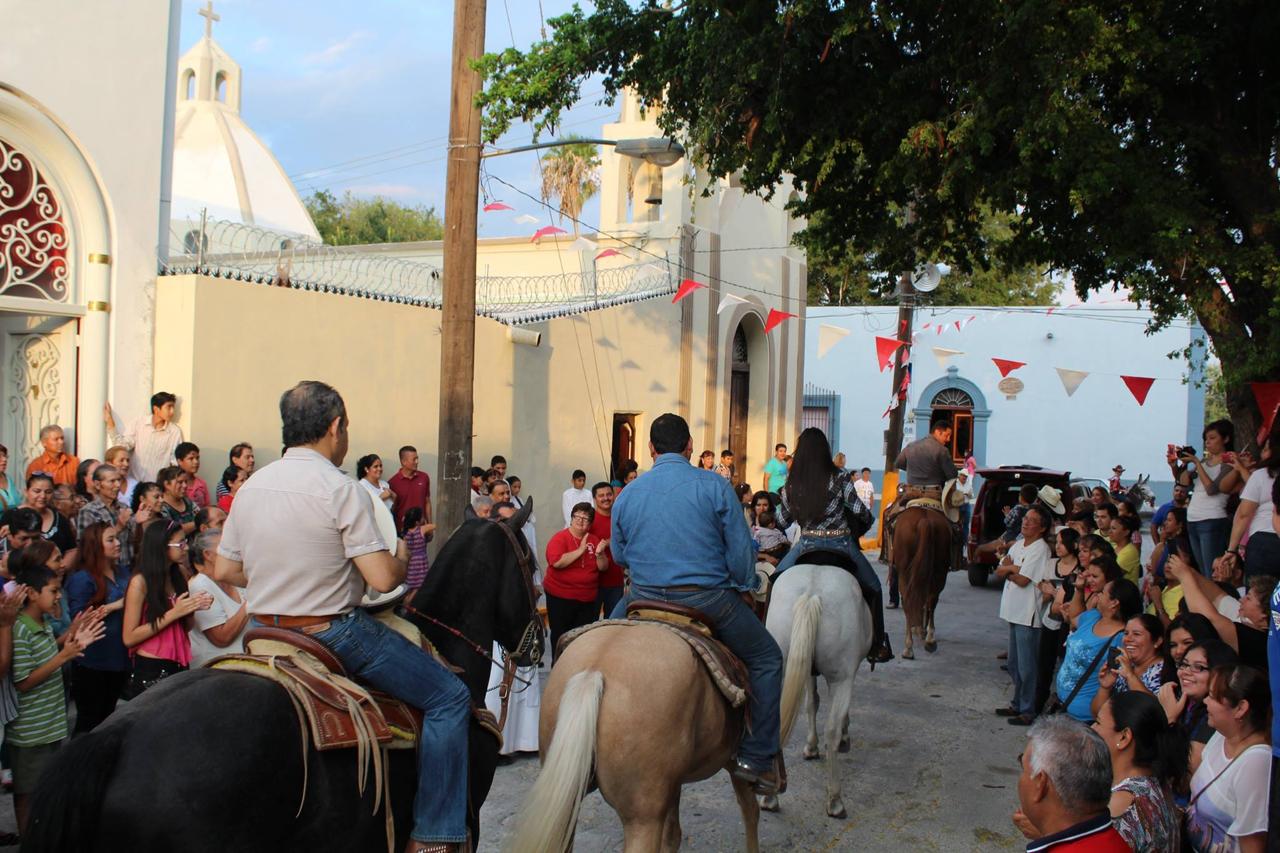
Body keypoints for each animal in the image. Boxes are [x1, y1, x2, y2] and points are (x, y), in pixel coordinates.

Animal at [504, 614, 757, 850]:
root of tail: (595, 670)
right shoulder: (733, 762)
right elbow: (749, 807)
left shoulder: (674, 783)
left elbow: (672, 836)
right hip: (642, 819)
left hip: (565, 811)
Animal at [752, 550, 875, 819]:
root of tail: (811, 594)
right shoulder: (844, 674)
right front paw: (842, 737)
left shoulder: (807, 667)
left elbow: (811, 703)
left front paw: (810, 746)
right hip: (841, 677)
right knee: (832, 728)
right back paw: (835, 800)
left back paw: (770, 797)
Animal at [890, 504, 952, 655]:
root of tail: (925, 520)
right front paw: (920, 628)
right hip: (939, 571)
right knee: (931, 600)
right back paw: (929, 640)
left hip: (904, 572)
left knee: (909, 600)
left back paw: (910, 646)